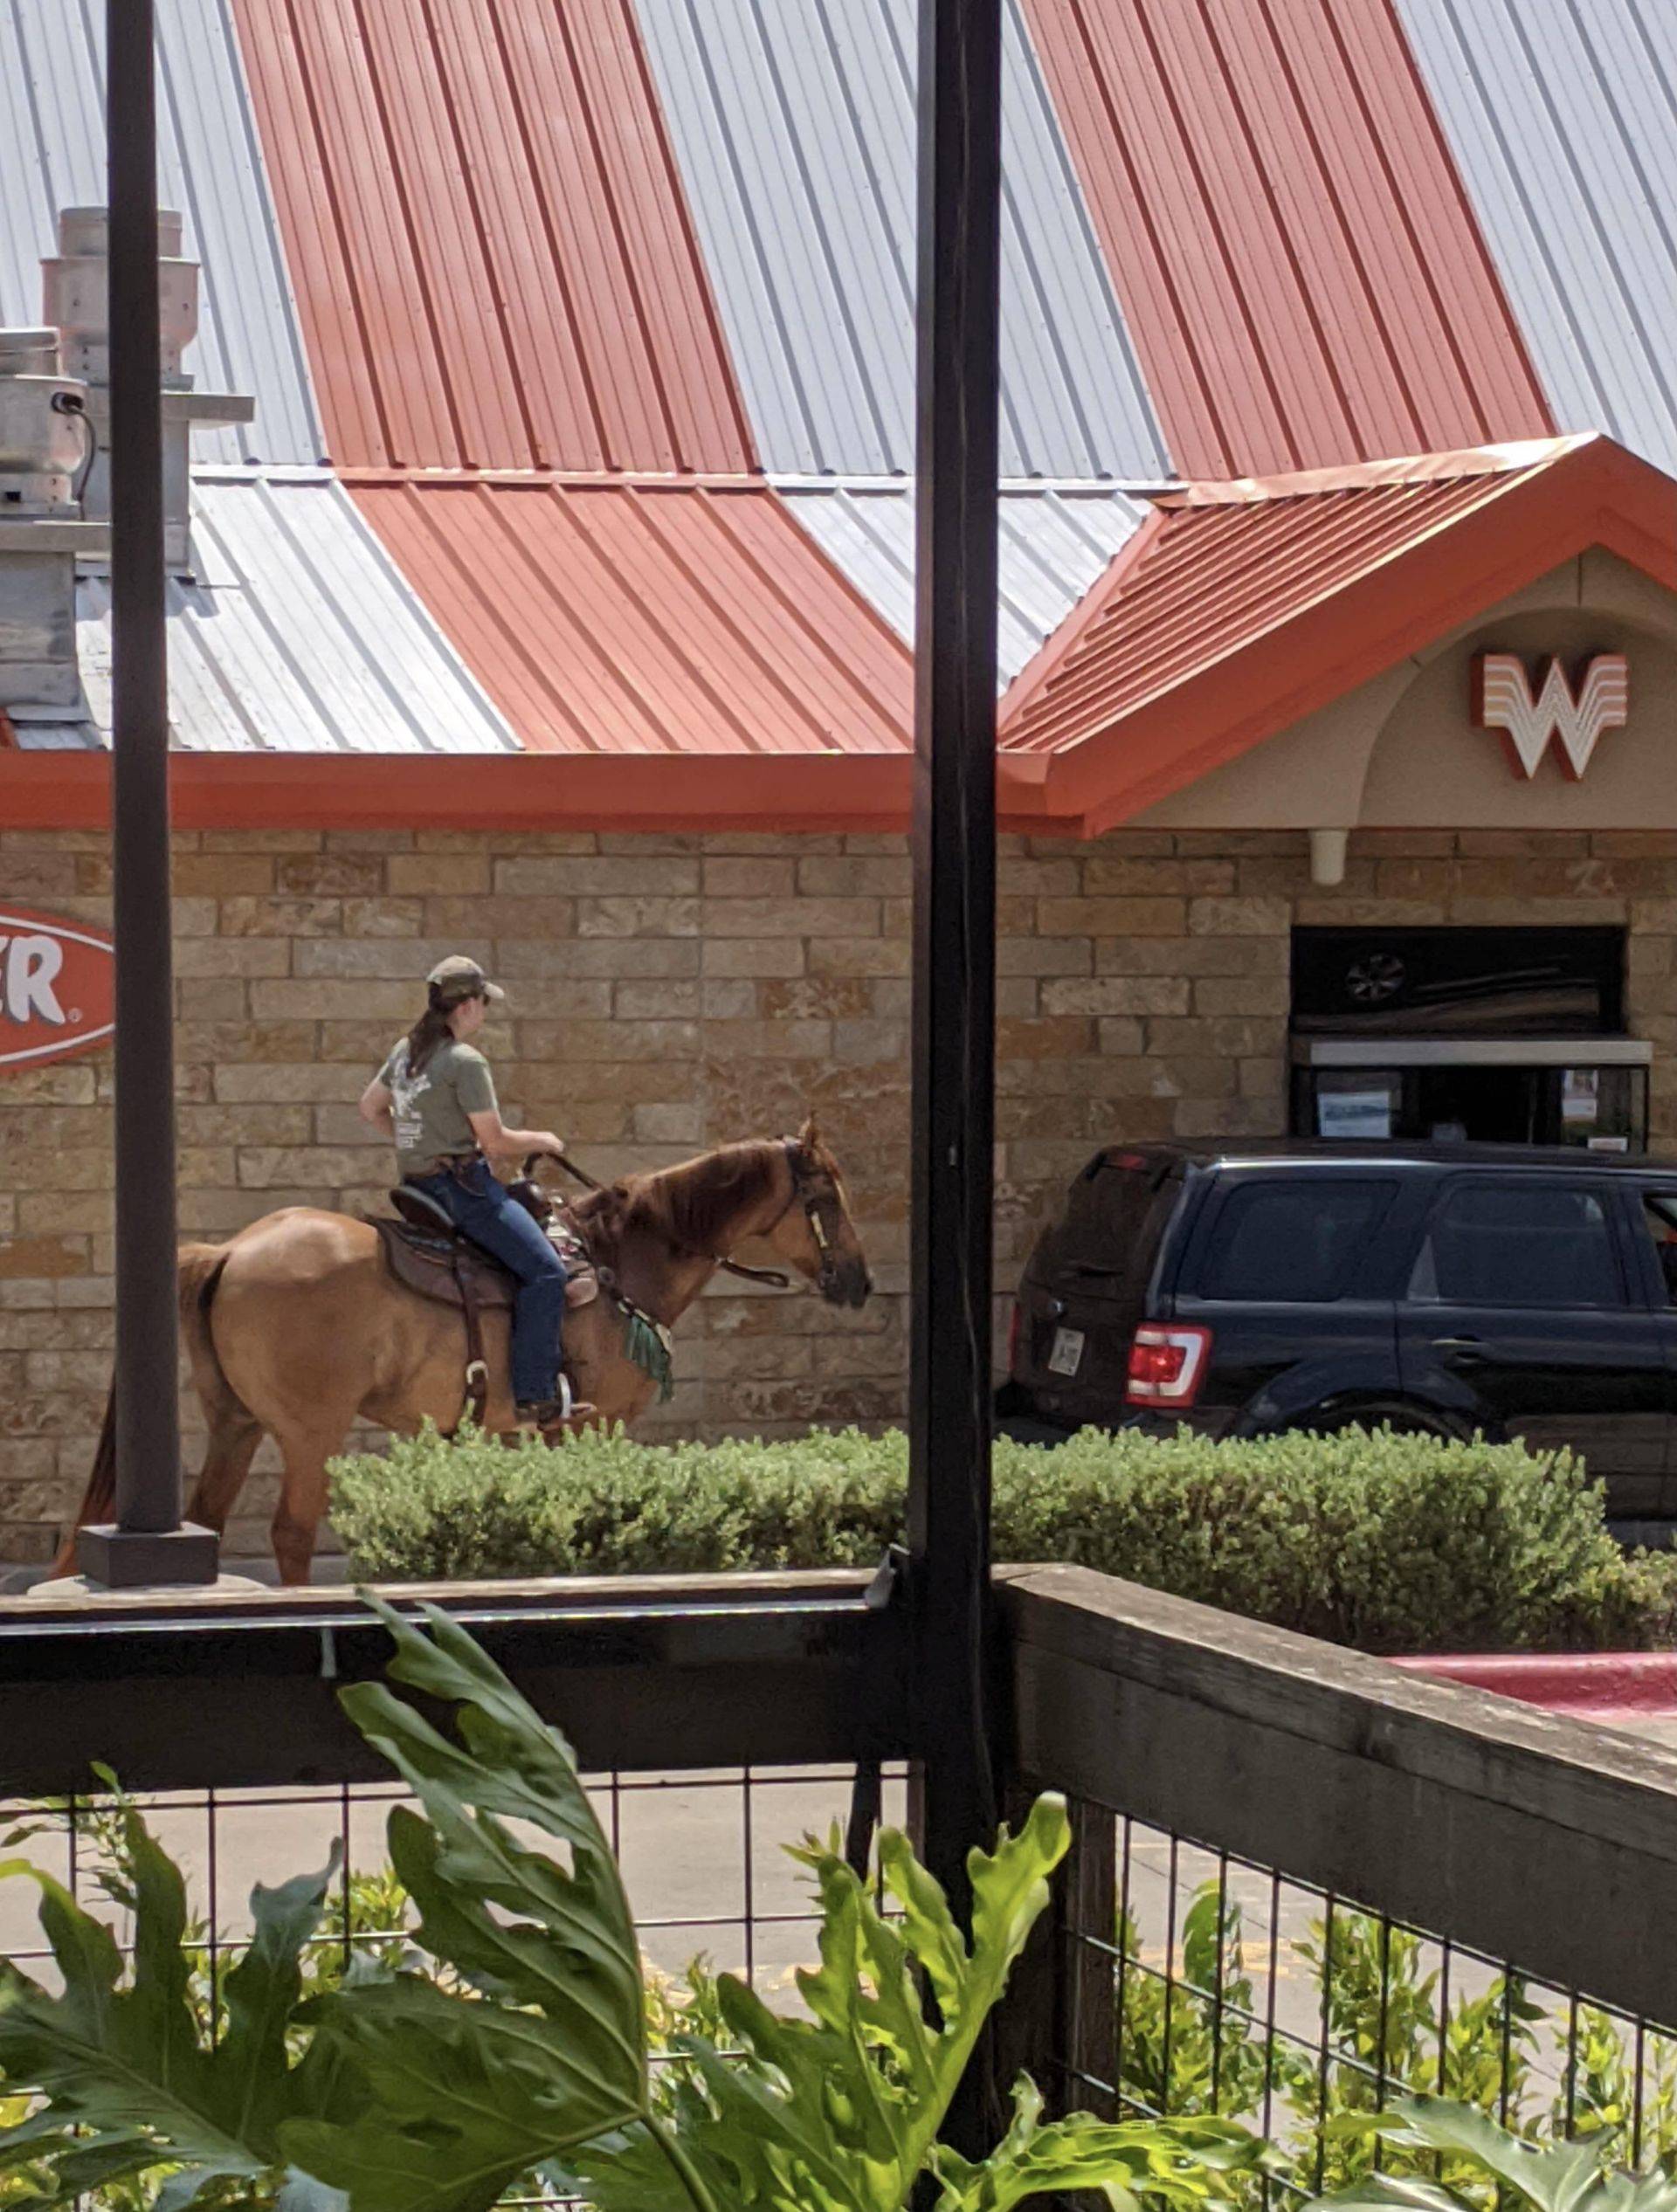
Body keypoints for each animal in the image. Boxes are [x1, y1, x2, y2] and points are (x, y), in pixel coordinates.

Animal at [59, 1132, 871, 1583]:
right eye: (827, 1197)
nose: (859, 1282)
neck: (618, 1260)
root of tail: (230, 1249)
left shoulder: (532, 1431)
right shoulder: (592, 1420)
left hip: (237, 1422)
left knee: (211, 1519)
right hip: (311, 1430)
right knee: (291, 1531)